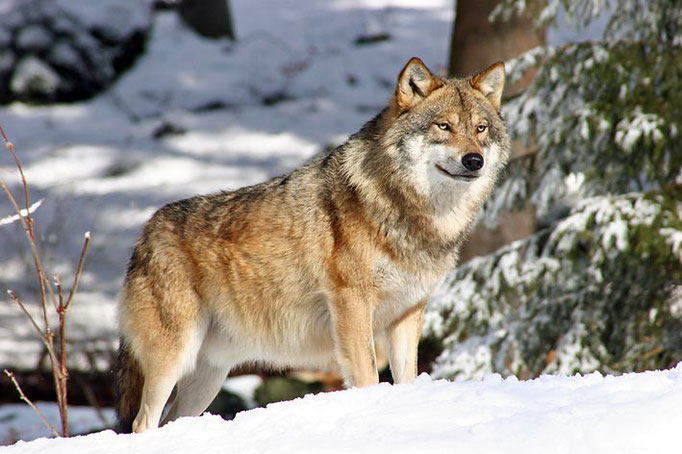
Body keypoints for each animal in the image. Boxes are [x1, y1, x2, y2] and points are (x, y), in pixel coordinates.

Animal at [117, 57, 508, 432]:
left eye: (480, 129)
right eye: (443, 126)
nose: (474, 160)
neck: (413, 215)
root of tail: (145, 234)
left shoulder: (407, 314)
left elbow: (406, 378)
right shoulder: (352, 306)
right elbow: (368, 378)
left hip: (207, 379)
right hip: (174, 358)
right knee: (141, 422)